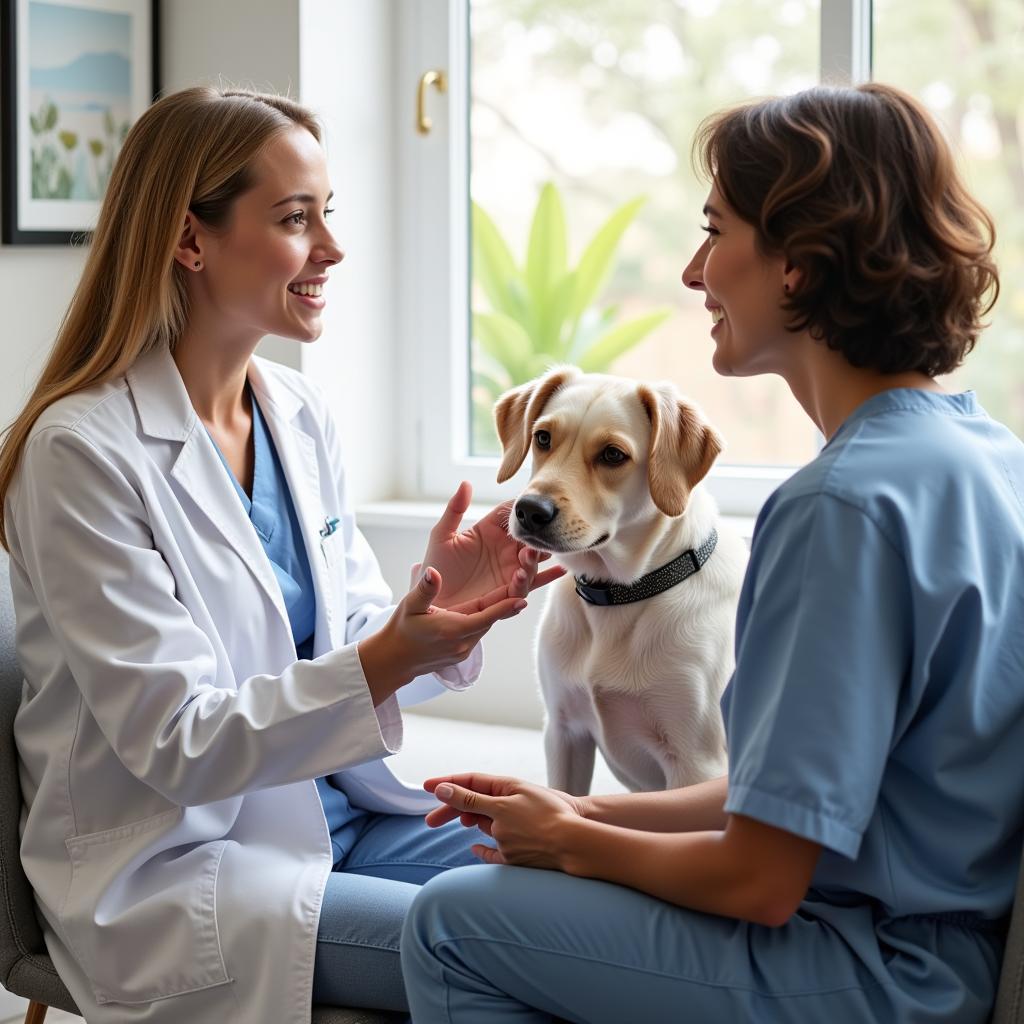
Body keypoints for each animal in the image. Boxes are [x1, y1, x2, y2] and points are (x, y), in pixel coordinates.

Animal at [493, 364, 745, 794]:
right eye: (543, 437)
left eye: (613, 455)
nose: (530, 510)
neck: (618, 596)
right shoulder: (563, 733)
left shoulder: (696, 763)